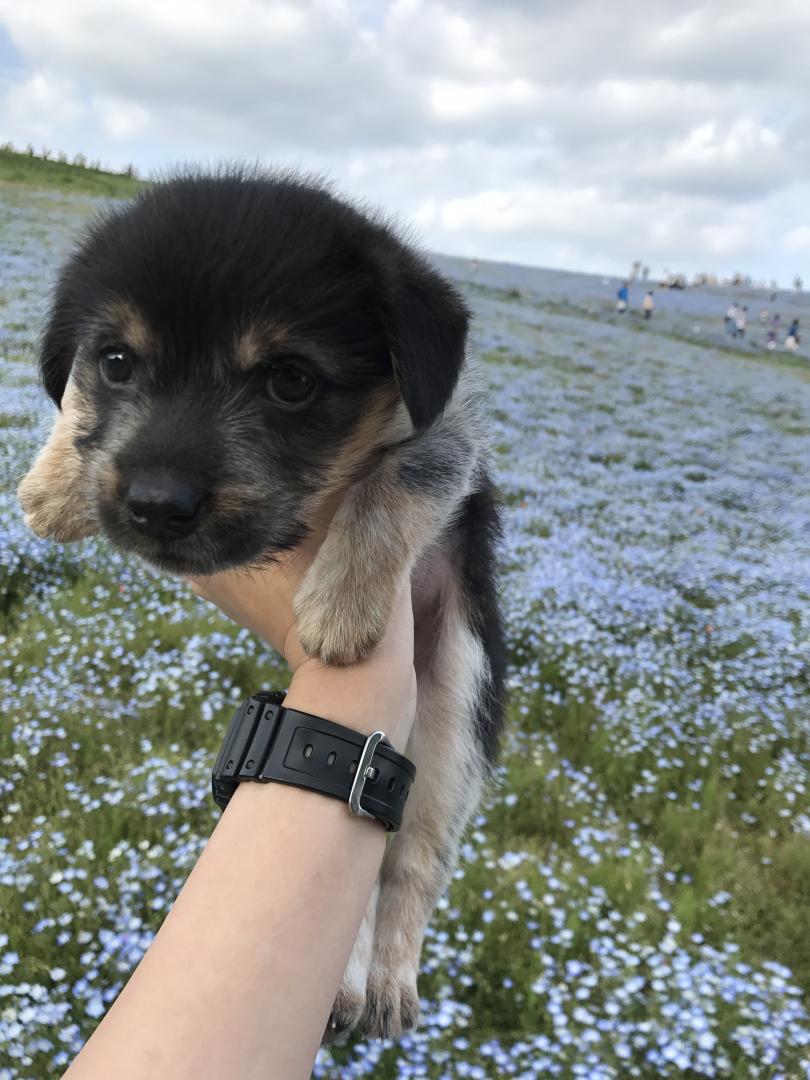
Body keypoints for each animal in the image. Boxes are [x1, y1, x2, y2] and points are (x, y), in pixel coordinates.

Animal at [17, 167, 506, 1041]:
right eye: (117, 362)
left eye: (290, 382)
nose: (156, 504)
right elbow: (74, 404)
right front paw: (52, 486)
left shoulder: (452, 429)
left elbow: (406, 473)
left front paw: (343, 603)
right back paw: (344, 983)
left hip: (457, 716)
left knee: (414, 858)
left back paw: (388, 979)